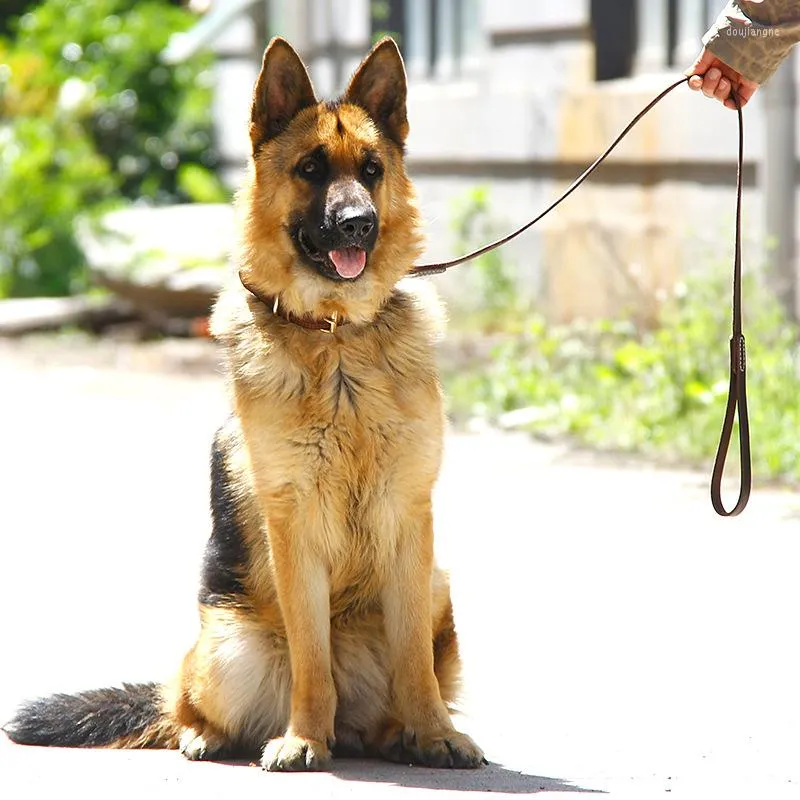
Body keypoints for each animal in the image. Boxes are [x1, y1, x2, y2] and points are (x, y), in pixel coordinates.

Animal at [4, 36, 488, 768]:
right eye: (312, 169)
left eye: (371, 170)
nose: (359, 224)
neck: (336, 337)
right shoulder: (295, 524)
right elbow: (310, 652)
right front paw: (304, 737)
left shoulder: (410, 521)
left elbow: (415, 664)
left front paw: (435, 733)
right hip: (227, 644)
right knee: (184, 702)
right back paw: (213, 735)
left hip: (438, 587)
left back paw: (396, 735)